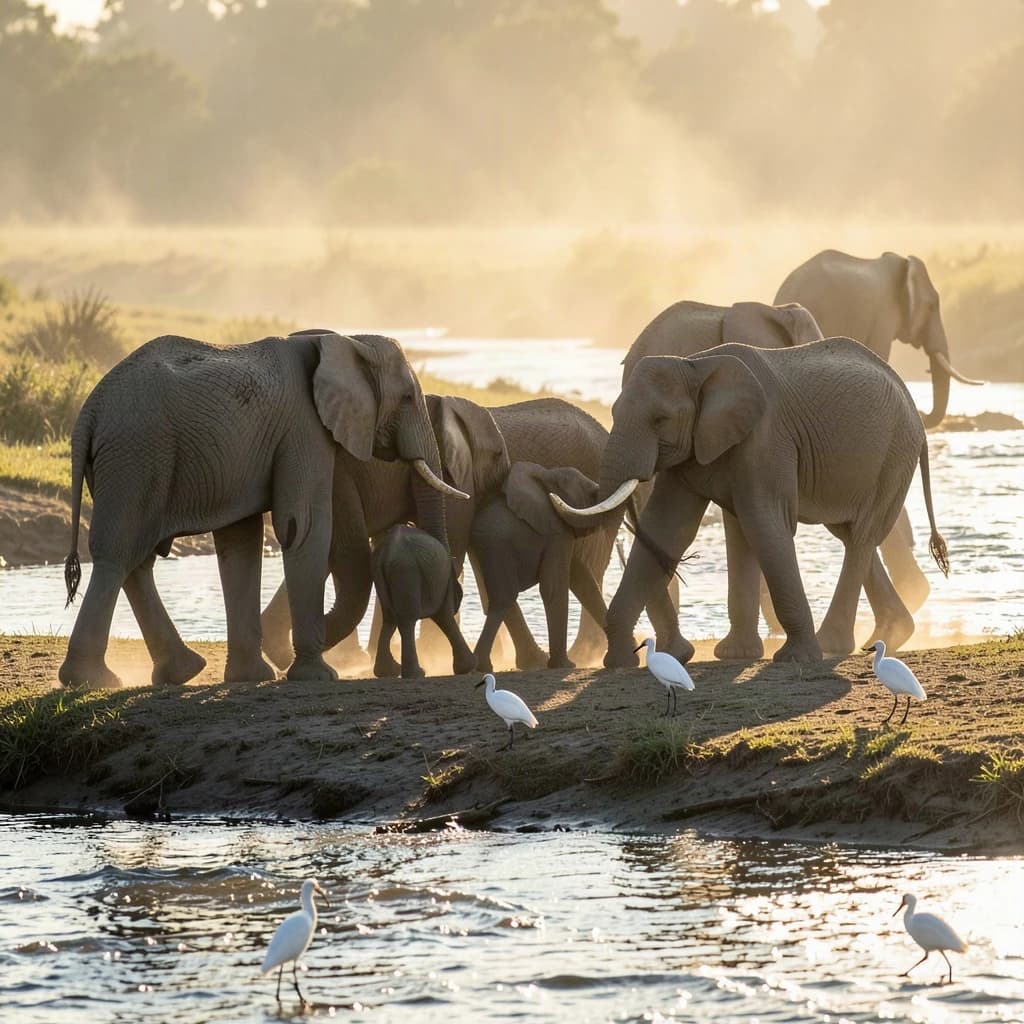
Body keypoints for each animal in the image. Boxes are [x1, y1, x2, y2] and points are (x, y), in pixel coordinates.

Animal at [59, 331, 460, 690]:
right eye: (407, 397)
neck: (343, 340)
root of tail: (88, 415)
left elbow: (241, 543)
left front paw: (253, 676)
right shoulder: (304, 430)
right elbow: (303, 526)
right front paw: (314, 676)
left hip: (129, 459)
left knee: (135, 560)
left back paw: (178, 672)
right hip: (137, 453)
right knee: (120, 553)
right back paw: (93, 680)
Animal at [370, 525, 476, 679]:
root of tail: (388, 554)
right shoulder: (443, 583)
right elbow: (444, 616)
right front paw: (466, 667)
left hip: (382, 575)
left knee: (389, 618)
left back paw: (388, 672)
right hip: (406, 571)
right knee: (407, 619)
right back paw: (416, 673)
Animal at [471, 462, 607, 671]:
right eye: (592, 495)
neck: (549, 476)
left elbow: (581, 578)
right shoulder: (557, 533)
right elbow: (554, 587)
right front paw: (566, 665)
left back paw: (481, 665)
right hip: (497, 549)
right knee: (504, 598)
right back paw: (482, 665)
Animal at [552, 338, 950, 666]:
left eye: (660, 419)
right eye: (614, 414)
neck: (696, 365)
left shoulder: (766, 437)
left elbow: (764, 523)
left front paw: (794, 658)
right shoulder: (697, 448)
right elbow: (671, 528)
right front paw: (624, 662)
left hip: (894, 456)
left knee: (863, 536)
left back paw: (832, 645)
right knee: (851, 535)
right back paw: (884, 636)